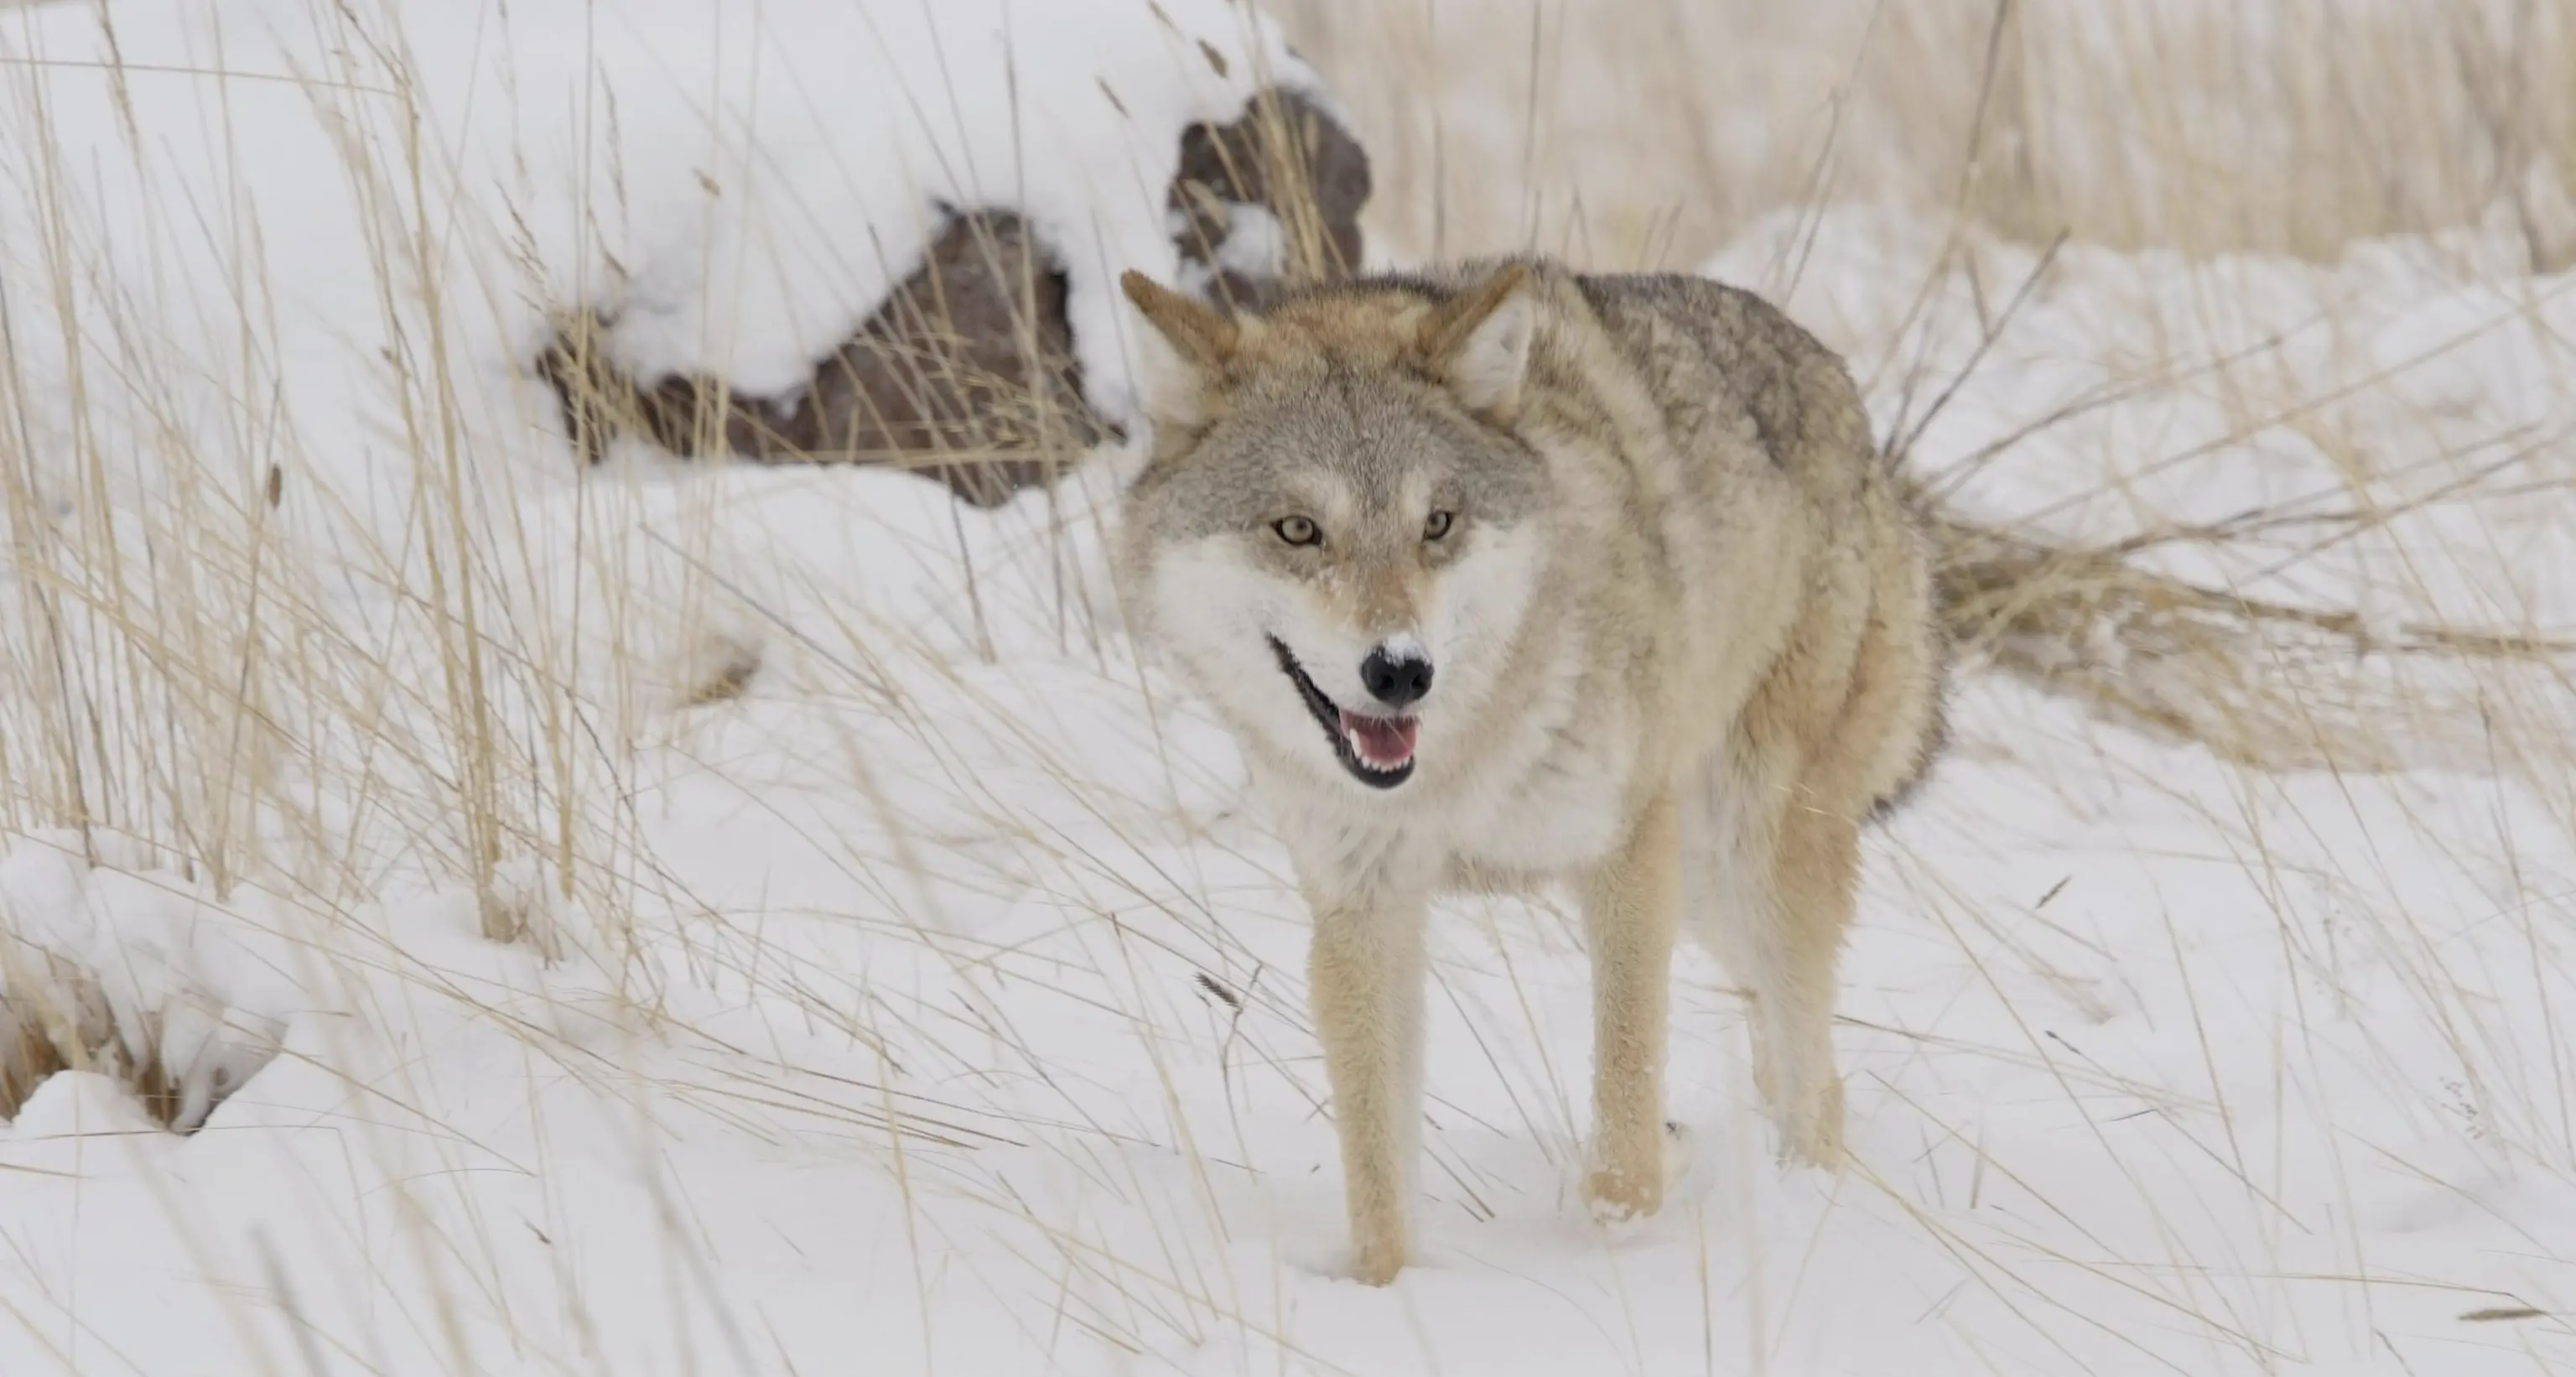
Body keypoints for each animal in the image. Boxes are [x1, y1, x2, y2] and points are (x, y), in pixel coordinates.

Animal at [1113, 257, 1945, 1285]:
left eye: (1437, 523)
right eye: (1298, 530)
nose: (1400, 670)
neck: (1459, 766)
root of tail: (1856, 412)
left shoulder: (1625, 854)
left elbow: (1623, 1142)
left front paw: (1642, 1178)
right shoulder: (1361, 911)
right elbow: (1376, 1173)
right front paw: (1385, 1291)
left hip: (1754, 858)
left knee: (1813, 1072)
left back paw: (1803, 1200)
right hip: (1711, 890)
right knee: (1787, 1048)